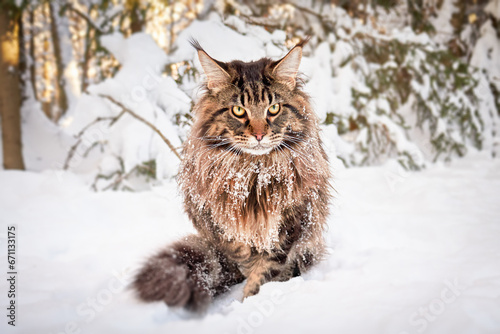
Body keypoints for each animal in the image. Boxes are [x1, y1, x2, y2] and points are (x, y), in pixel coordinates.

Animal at [132, 37, 332, 312]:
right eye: (238, 110)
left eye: (274, 108)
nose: (259, 135)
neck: (254, 173)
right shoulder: (209, 214)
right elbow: (239, 251)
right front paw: (248, 274)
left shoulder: (293, 218)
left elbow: (268, 268)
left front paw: (252, 298)